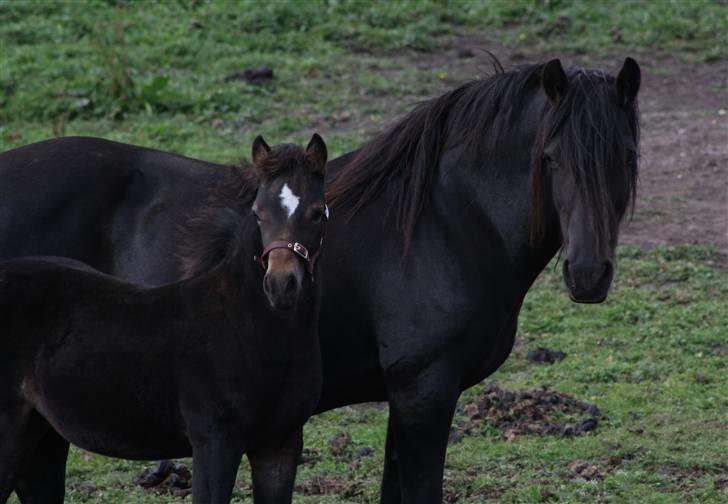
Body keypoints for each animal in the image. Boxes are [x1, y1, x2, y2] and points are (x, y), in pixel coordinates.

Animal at [0, 135, 330, 504]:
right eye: (258, 214)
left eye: (317, 214)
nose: (281, 285)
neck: (245, 326)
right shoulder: (215, 442)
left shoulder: (280, 445)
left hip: (41, 434)